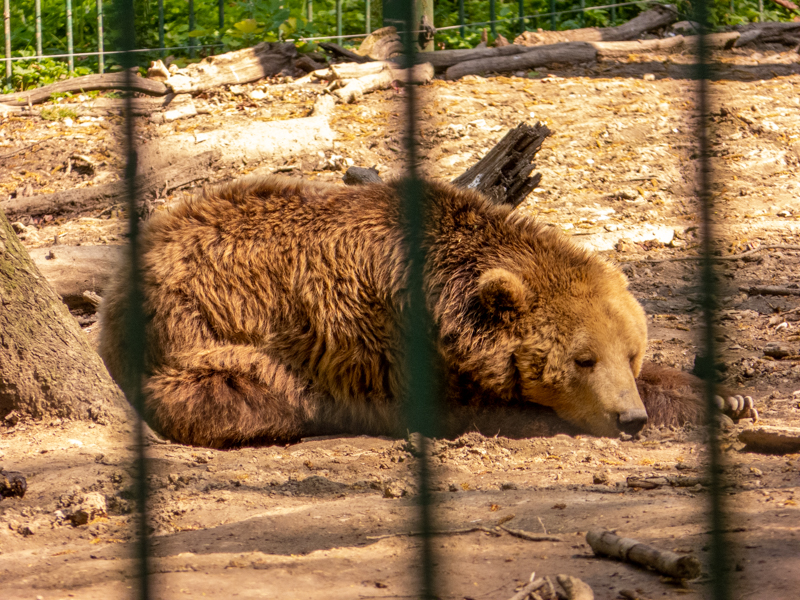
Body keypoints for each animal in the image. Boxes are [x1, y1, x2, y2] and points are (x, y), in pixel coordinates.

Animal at [98, 176, 756, 448]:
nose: (629, 419)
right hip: (197, 329)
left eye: (631, 352)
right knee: (237, 390)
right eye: (583, 359)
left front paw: (726, 396)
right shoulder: (392, 346)